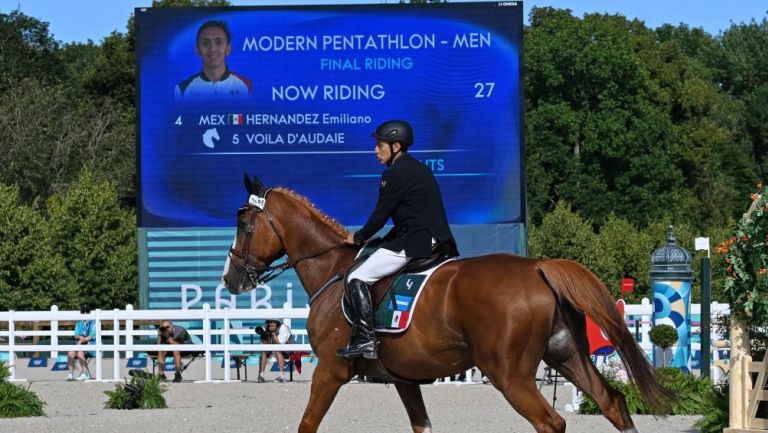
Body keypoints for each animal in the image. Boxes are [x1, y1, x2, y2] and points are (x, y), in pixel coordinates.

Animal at [220, 174, 664, 430]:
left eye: (244, 224)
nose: (230, 278)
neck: (332, 268)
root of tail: (538, 267)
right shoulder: (404, 380)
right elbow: (422, 426)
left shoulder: (329, 371)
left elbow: (307, 424)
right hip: (567, 355)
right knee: (612, 404)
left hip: (511, 375)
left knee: (551, 423)